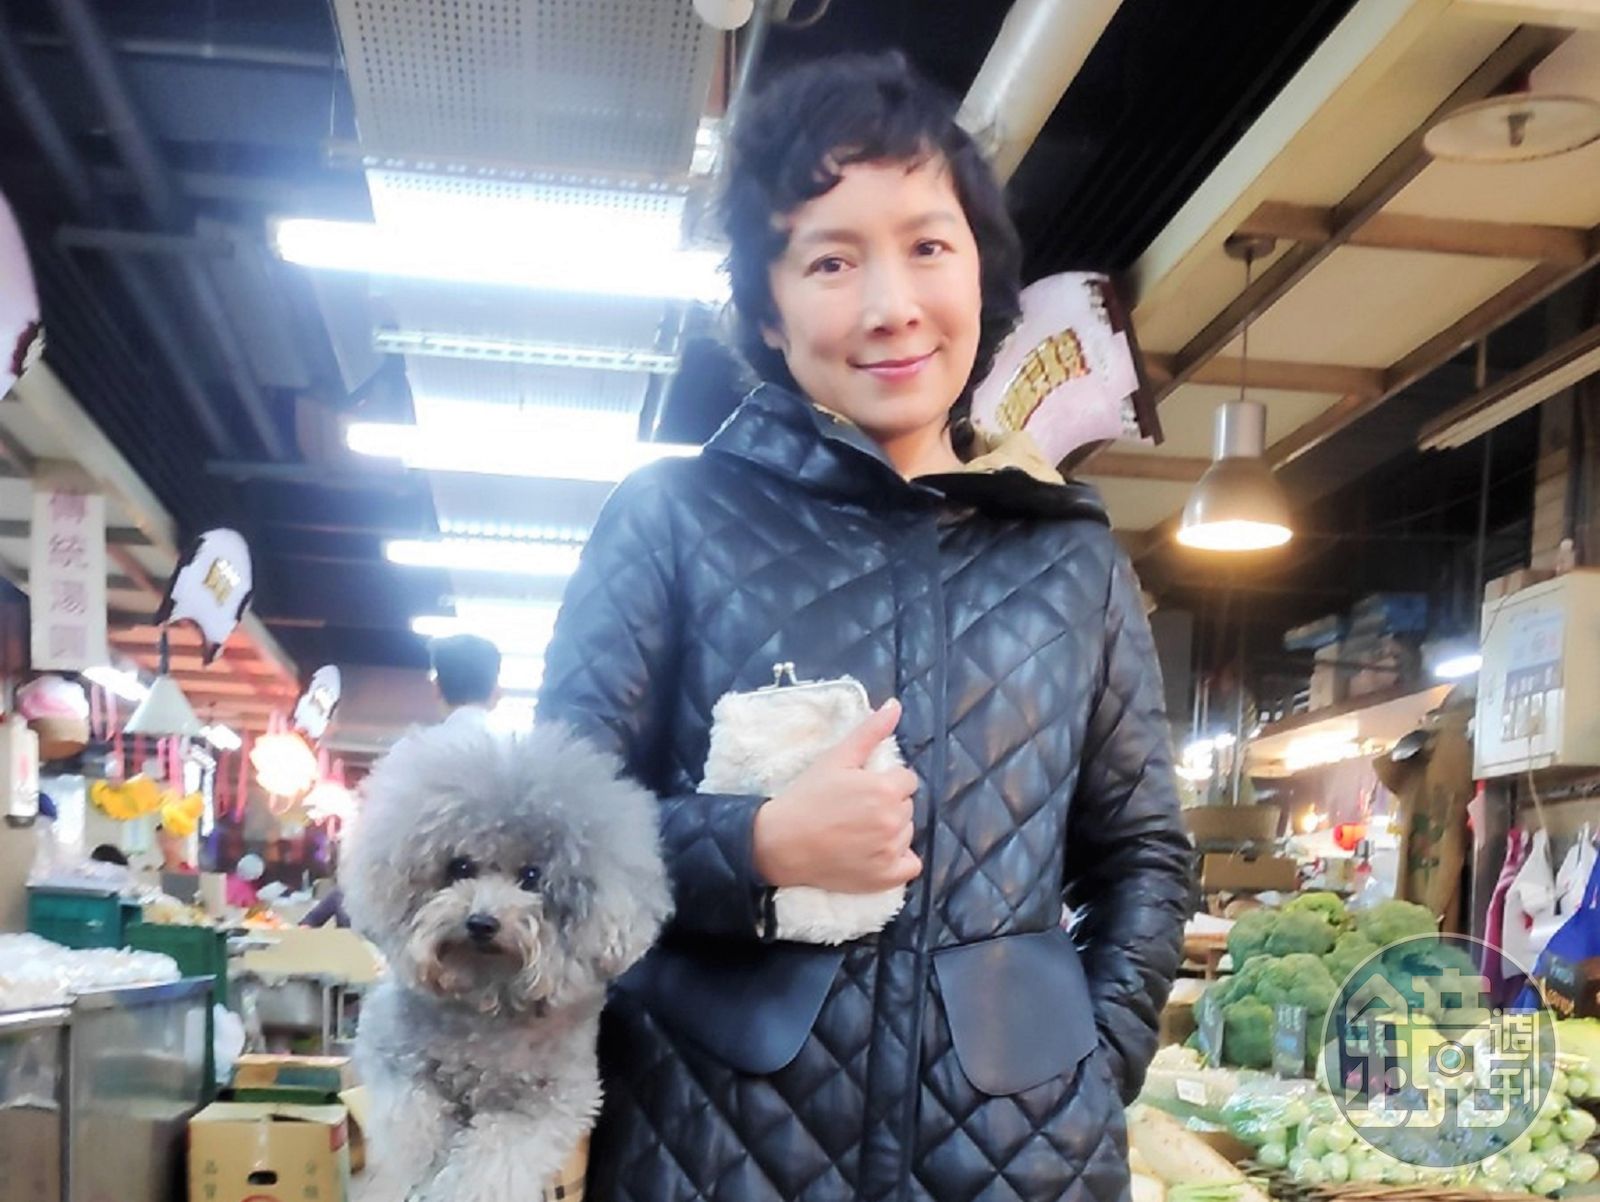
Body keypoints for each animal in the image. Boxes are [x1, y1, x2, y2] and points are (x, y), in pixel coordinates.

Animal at [340, 720, 672, 1202]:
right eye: (460, 867)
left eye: (532, 877)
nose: (482, 922)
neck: (485, 998)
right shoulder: (391, 1059)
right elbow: (414, 1120)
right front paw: (428, 1165)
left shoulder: (548, 1101)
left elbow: (494, 1158)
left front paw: (458, 1186)